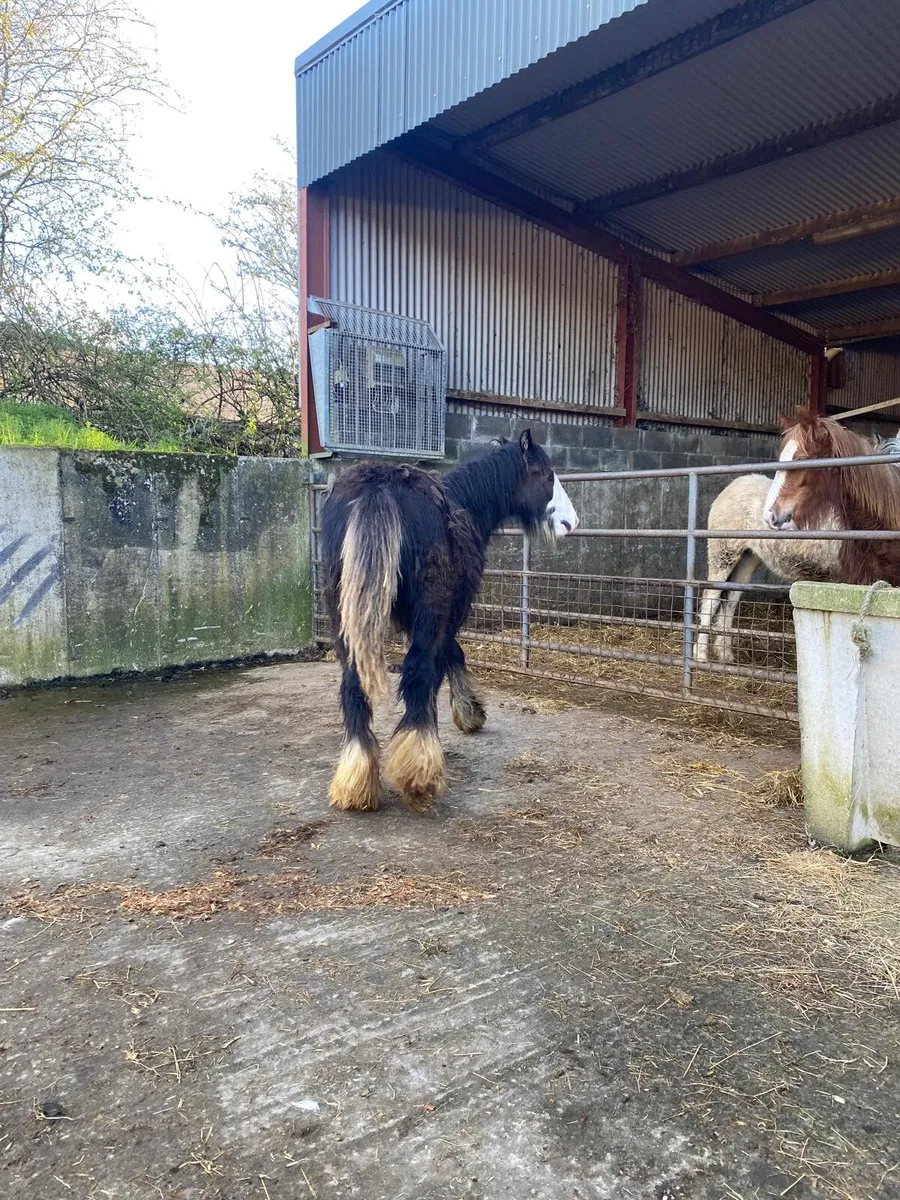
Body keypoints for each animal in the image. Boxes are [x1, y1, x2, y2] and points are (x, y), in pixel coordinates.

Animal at [321, 430, 579, 813]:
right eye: (546, 476)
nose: (571, 523)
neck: (464, 503)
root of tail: (378, 488)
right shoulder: (449, 613)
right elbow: (448, 659)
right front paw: (467, 715)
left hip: (346, 618)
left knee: (354, 685)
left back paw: (356, 781)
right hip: (428, 609)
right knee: (417, 674)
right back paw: (419, 777)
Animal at [695, 474, 839, 664]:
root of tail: (736, 483)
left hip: (748, 559)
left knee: (730, 601)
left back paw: (725, 654)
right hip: (723, 553)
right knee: (711, 600)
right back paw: (701, 655)